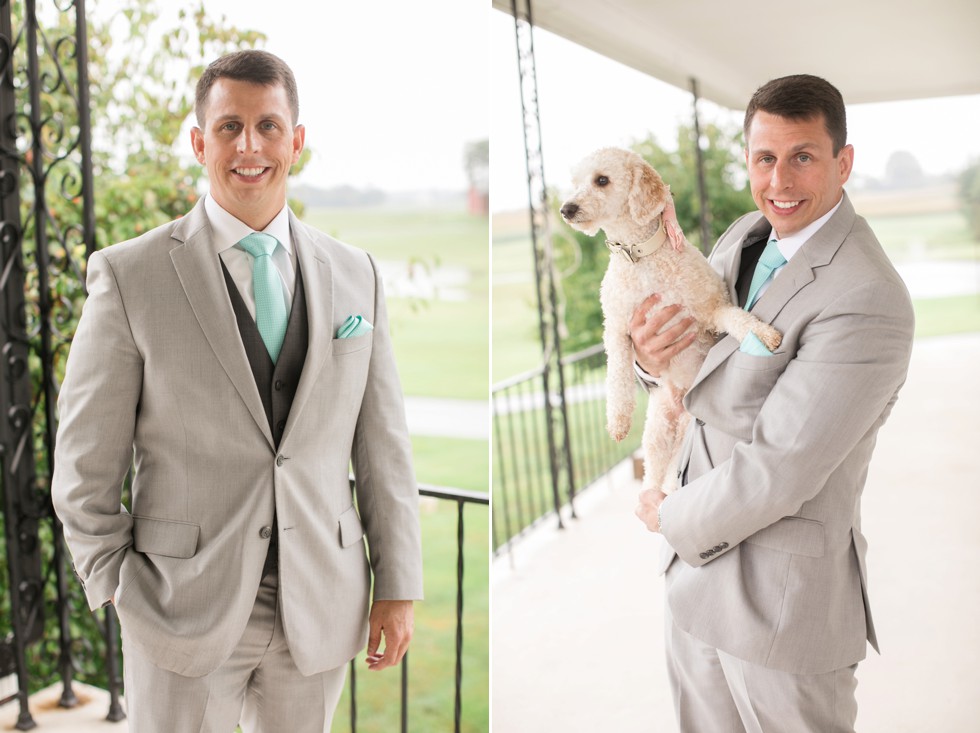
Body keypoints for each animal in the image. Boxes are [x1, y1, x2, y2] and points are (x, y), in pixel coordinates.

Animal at [560, 147, 780, 528]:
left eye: (602, 180)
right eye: (574, 182)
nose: (566, 208)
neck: (640, 260)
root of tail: (679, 412)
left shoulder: (710, 309)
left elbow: (737, 317)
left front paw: (761, 333)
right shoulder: (618, 330)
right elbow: (618, 375)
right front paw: (617, 420)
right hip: (657, 432)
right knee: (653, 476)